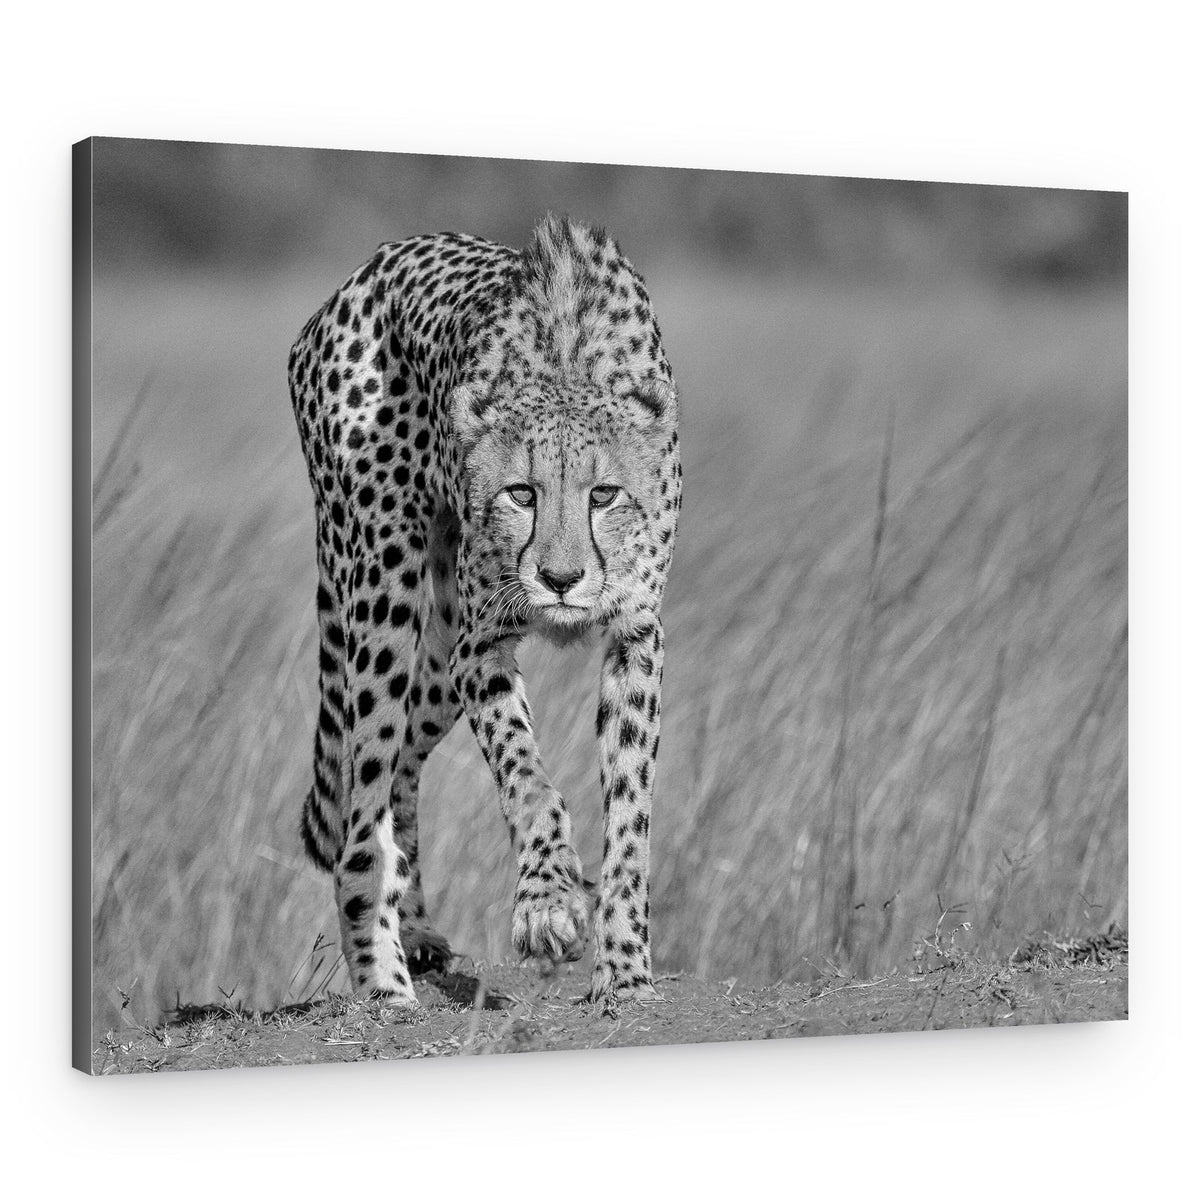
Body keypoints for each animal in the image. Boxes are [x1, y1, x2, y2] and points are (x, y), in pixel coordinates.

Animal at [287, 214, 681, 1008]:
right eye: (521, 493)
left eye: (604, 494)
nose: (560, 579)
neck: (567, 360)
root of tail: (358, 277)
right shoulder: (484, 644)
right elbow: (528, 777)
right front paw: (548, 904)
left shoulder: (636, 638)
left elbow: (631, 815)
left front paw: (625, 970)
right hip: (384, 593)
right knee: (361, 803)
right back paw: (385, 984)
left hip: (437, 659)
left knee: (401, 767)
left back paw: (417, 931)